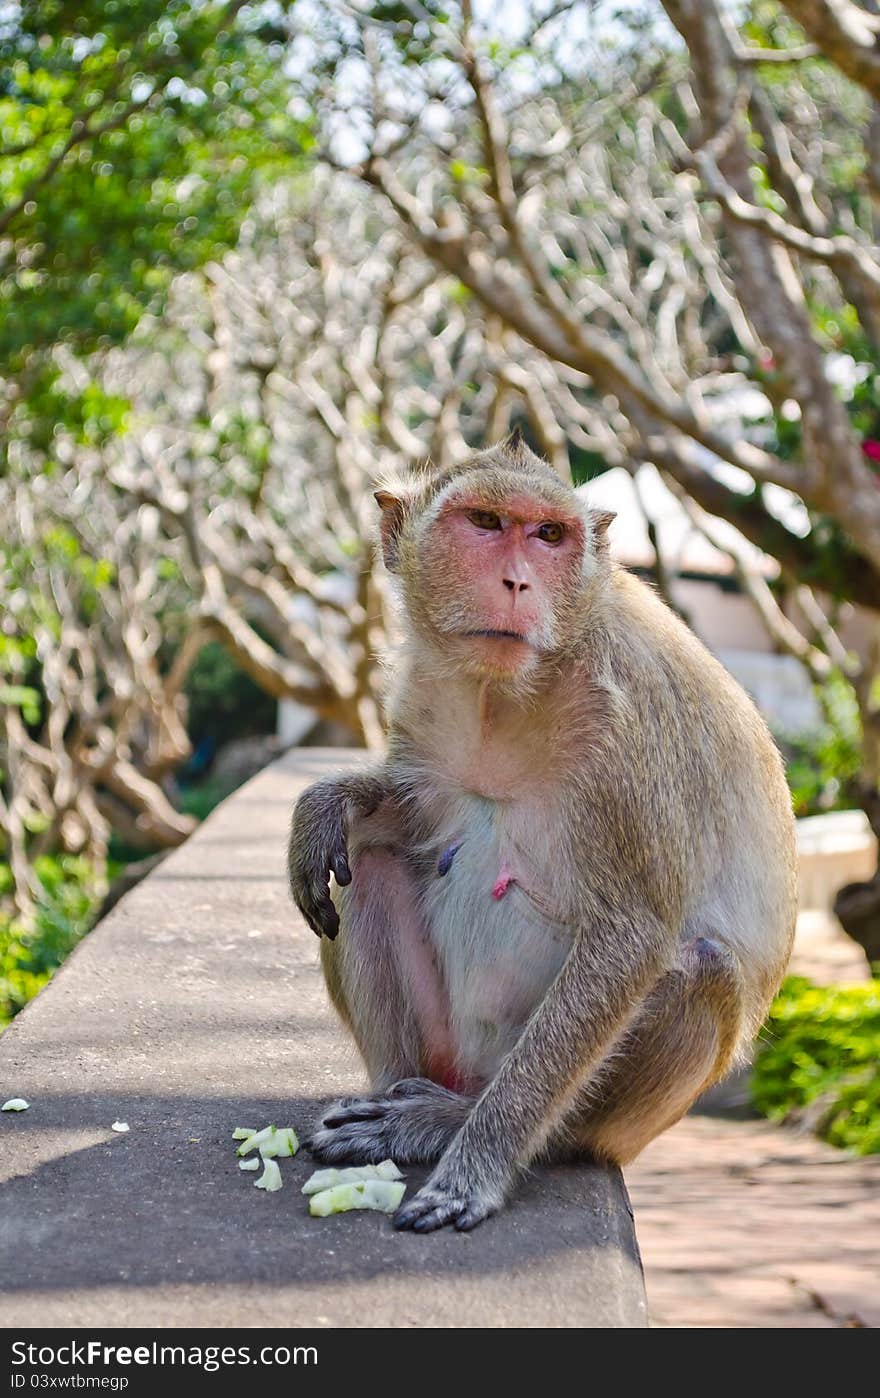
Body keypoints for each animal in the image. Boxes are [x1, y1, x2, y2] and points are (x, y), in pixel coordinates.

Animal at [288, 433, 794, 1235]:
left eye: (550, 535)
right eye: (486, 523)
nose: (518, 582)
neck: (510, 689)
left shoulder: (629, 722)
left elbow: (630, 937)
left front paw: (476, 1167)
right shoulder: (424, 687)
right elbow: (412, 810)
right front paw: (325, 803)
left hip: (615, 1119)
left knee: (699, 969)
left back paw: (454, 1123)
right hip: (445, 1043)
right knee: (365, 860)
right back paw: (393, 1099)